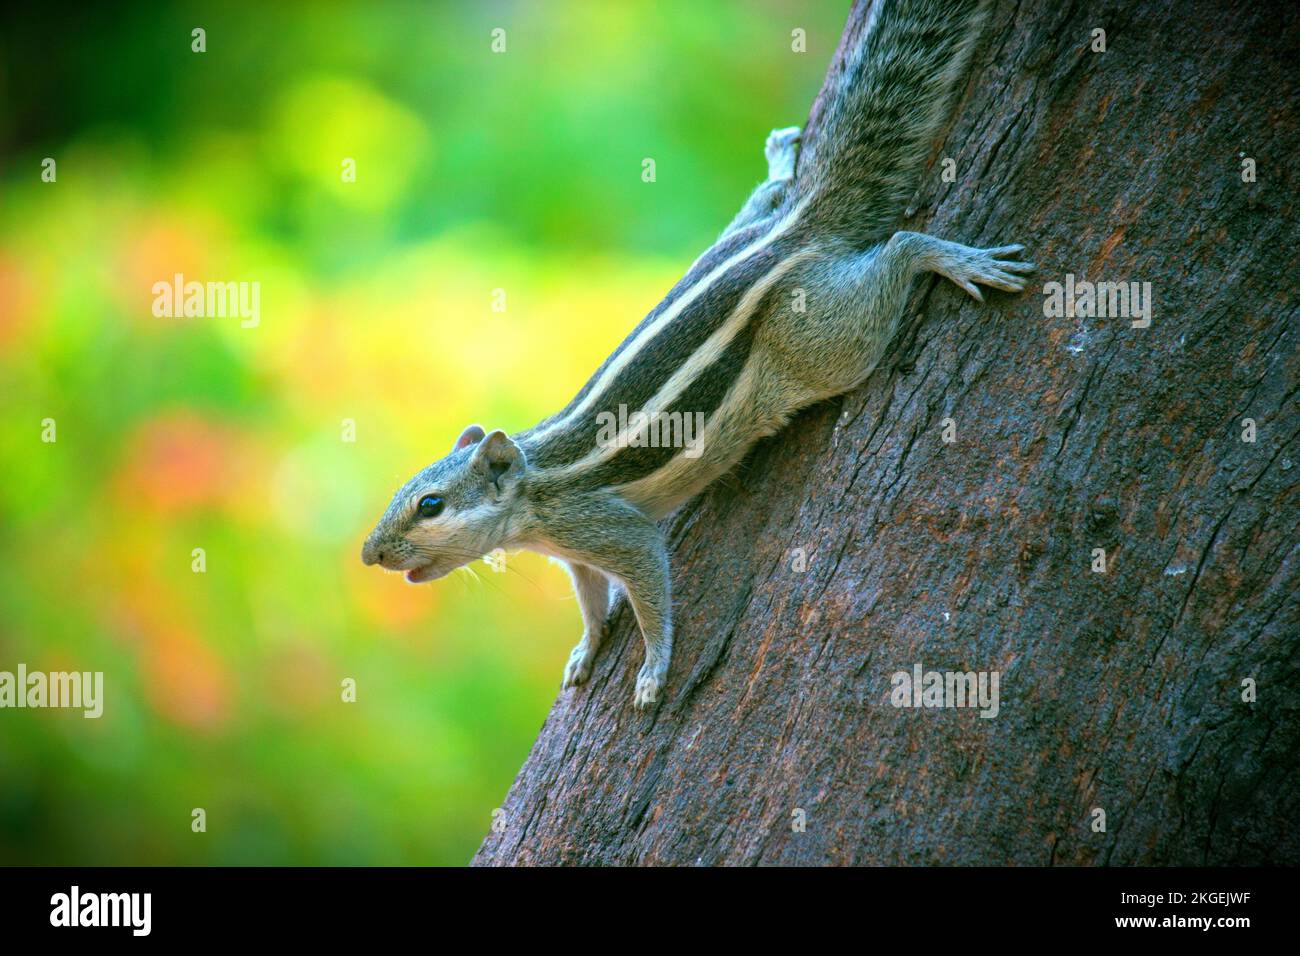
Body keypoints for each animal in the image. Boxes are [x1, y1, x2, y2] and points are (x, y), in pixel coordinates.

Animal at [361, 0, 1029, 712]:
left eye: (431, 505)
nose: (371, 555)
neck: (536, 492)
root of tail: (792, 234)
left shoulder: (610, 531)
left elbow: (650, 592)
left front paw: (654, 668)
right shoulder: (578, 556)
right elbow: (590, 603)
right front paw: (585, 650)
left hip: (819, 336)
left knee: (896, 254)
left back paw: (944, 255)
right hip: (751, 236)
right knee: (765, 200)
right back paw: (779, 165)